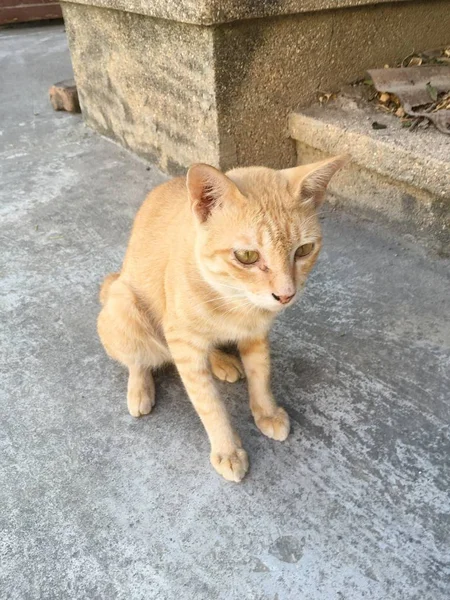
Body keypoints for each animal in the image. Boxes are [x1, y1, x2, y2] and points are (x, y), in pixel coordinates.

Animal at [96, 157, 346, 480]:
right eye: (247, 256)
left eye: (304, 250)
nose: (286, 295)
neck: (233, 301)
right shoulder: (183, 343)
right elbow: (208, 403)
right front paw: (227, 450)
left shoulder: (256, 334)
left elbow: (260, 374)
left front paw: (266, 412)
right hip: (124, 305)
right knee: (139, 360)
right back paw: (140, 388)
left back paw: (222, 361)